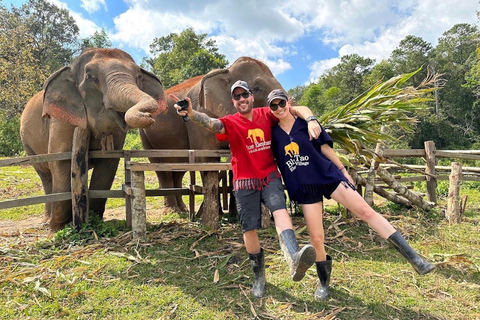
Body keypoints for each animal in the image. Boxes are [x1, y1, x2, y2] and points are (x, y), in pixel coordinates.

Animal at [20, 47, 167, 231]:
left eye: (138, 75)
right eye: (90, 76)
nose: (148, 116)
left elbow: (107, 165)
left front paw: (94, 221)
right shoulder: (62, 119)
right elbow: (61, 162)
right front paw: (57, 230)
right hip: (27, 144)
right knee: (46, 176)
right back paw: (47, 221)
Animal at [139, 56, 284, 214]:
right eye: (257, 88)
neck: (226, 71)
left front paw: (231, 213)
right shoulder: (199, 122)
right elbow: (206, 160)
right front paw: (217, 212)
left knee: (178, 168)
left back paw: (183, 209)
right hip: (145, 133)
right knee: (160, 167)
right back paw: (172, 211)